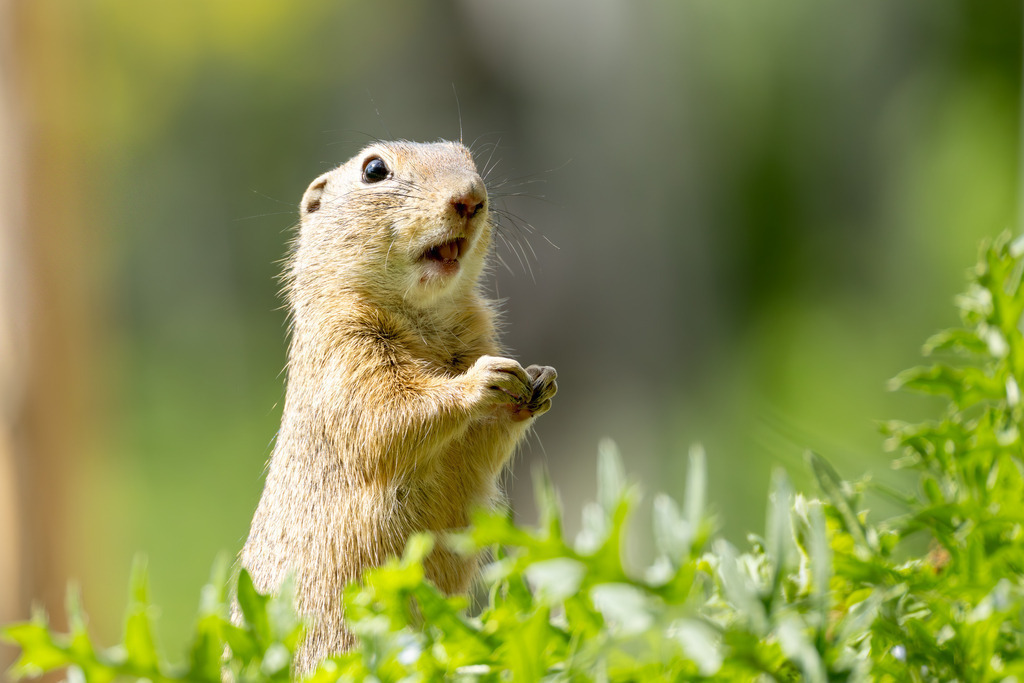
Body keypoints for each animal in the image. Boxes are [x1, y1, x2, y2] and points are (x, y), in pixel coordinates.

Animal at [239, 140, 557, 671]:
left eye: (468, 157)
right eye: (374, 169)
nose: (470, 197)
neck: (424, 314)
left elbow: (481, 448)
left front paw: (538, 380)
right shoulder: (344, 353)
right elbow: (387, 415)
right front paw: (481, 382)